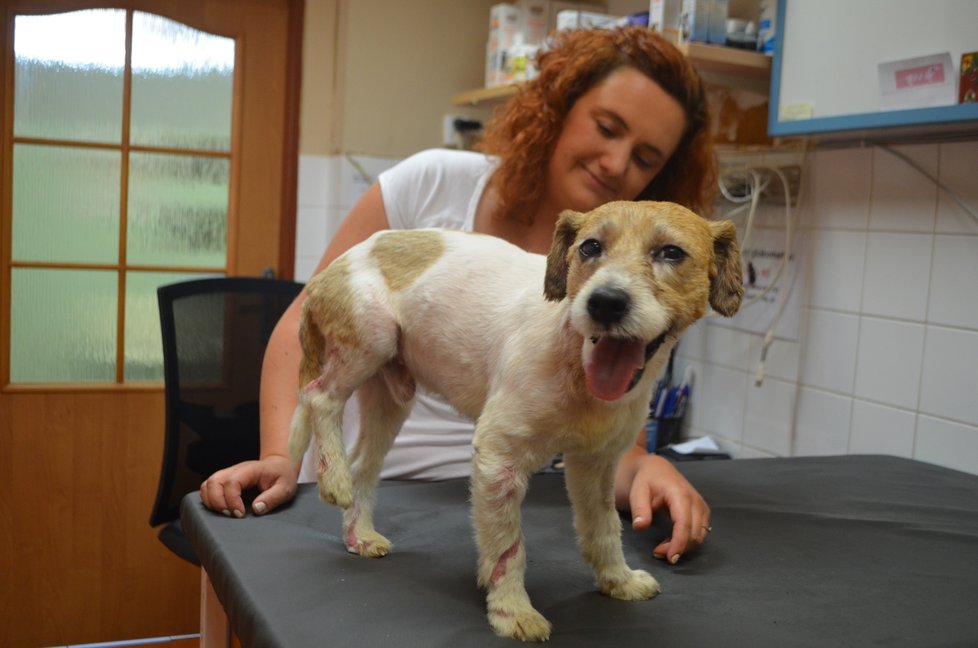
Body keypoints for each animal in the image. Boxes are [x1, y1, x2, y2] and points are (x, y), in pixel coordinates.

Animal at [286, 200, 744, 640]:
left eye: (671, 252)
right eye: (590, 247)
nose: (605, 302)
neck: (575, 356)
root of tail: (330, 270)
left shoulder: (595, 464)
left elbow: (603, 528)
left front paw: (618, 580)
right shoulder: (498, 457)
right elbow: (508, 548)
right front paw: (512, 611)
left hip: (390, 396)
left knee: (363, 464)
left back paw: (359, 533)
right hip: (369, 341)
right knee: (320, 397)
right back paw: (333, 478)